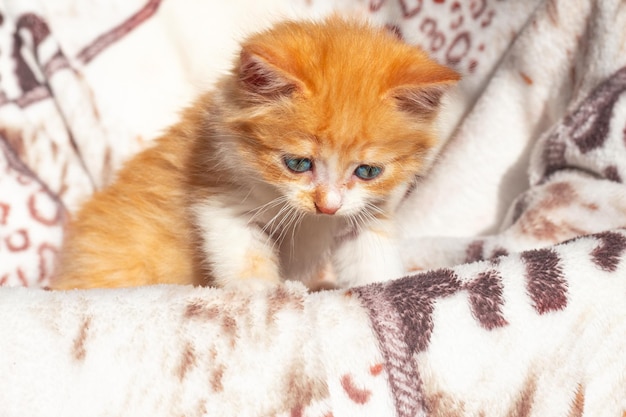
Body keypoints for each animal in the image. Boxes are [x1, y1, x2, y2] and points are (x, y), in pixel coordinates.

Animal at [50, 16, 458, 290]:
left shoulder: (365, 212)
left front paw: (388, 286)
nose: (327, 206)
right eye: (298, 164)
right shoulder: (219, 195)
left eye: (367, 171)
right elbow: (243, 255)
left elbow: (372, 259)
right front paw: (264, 295)